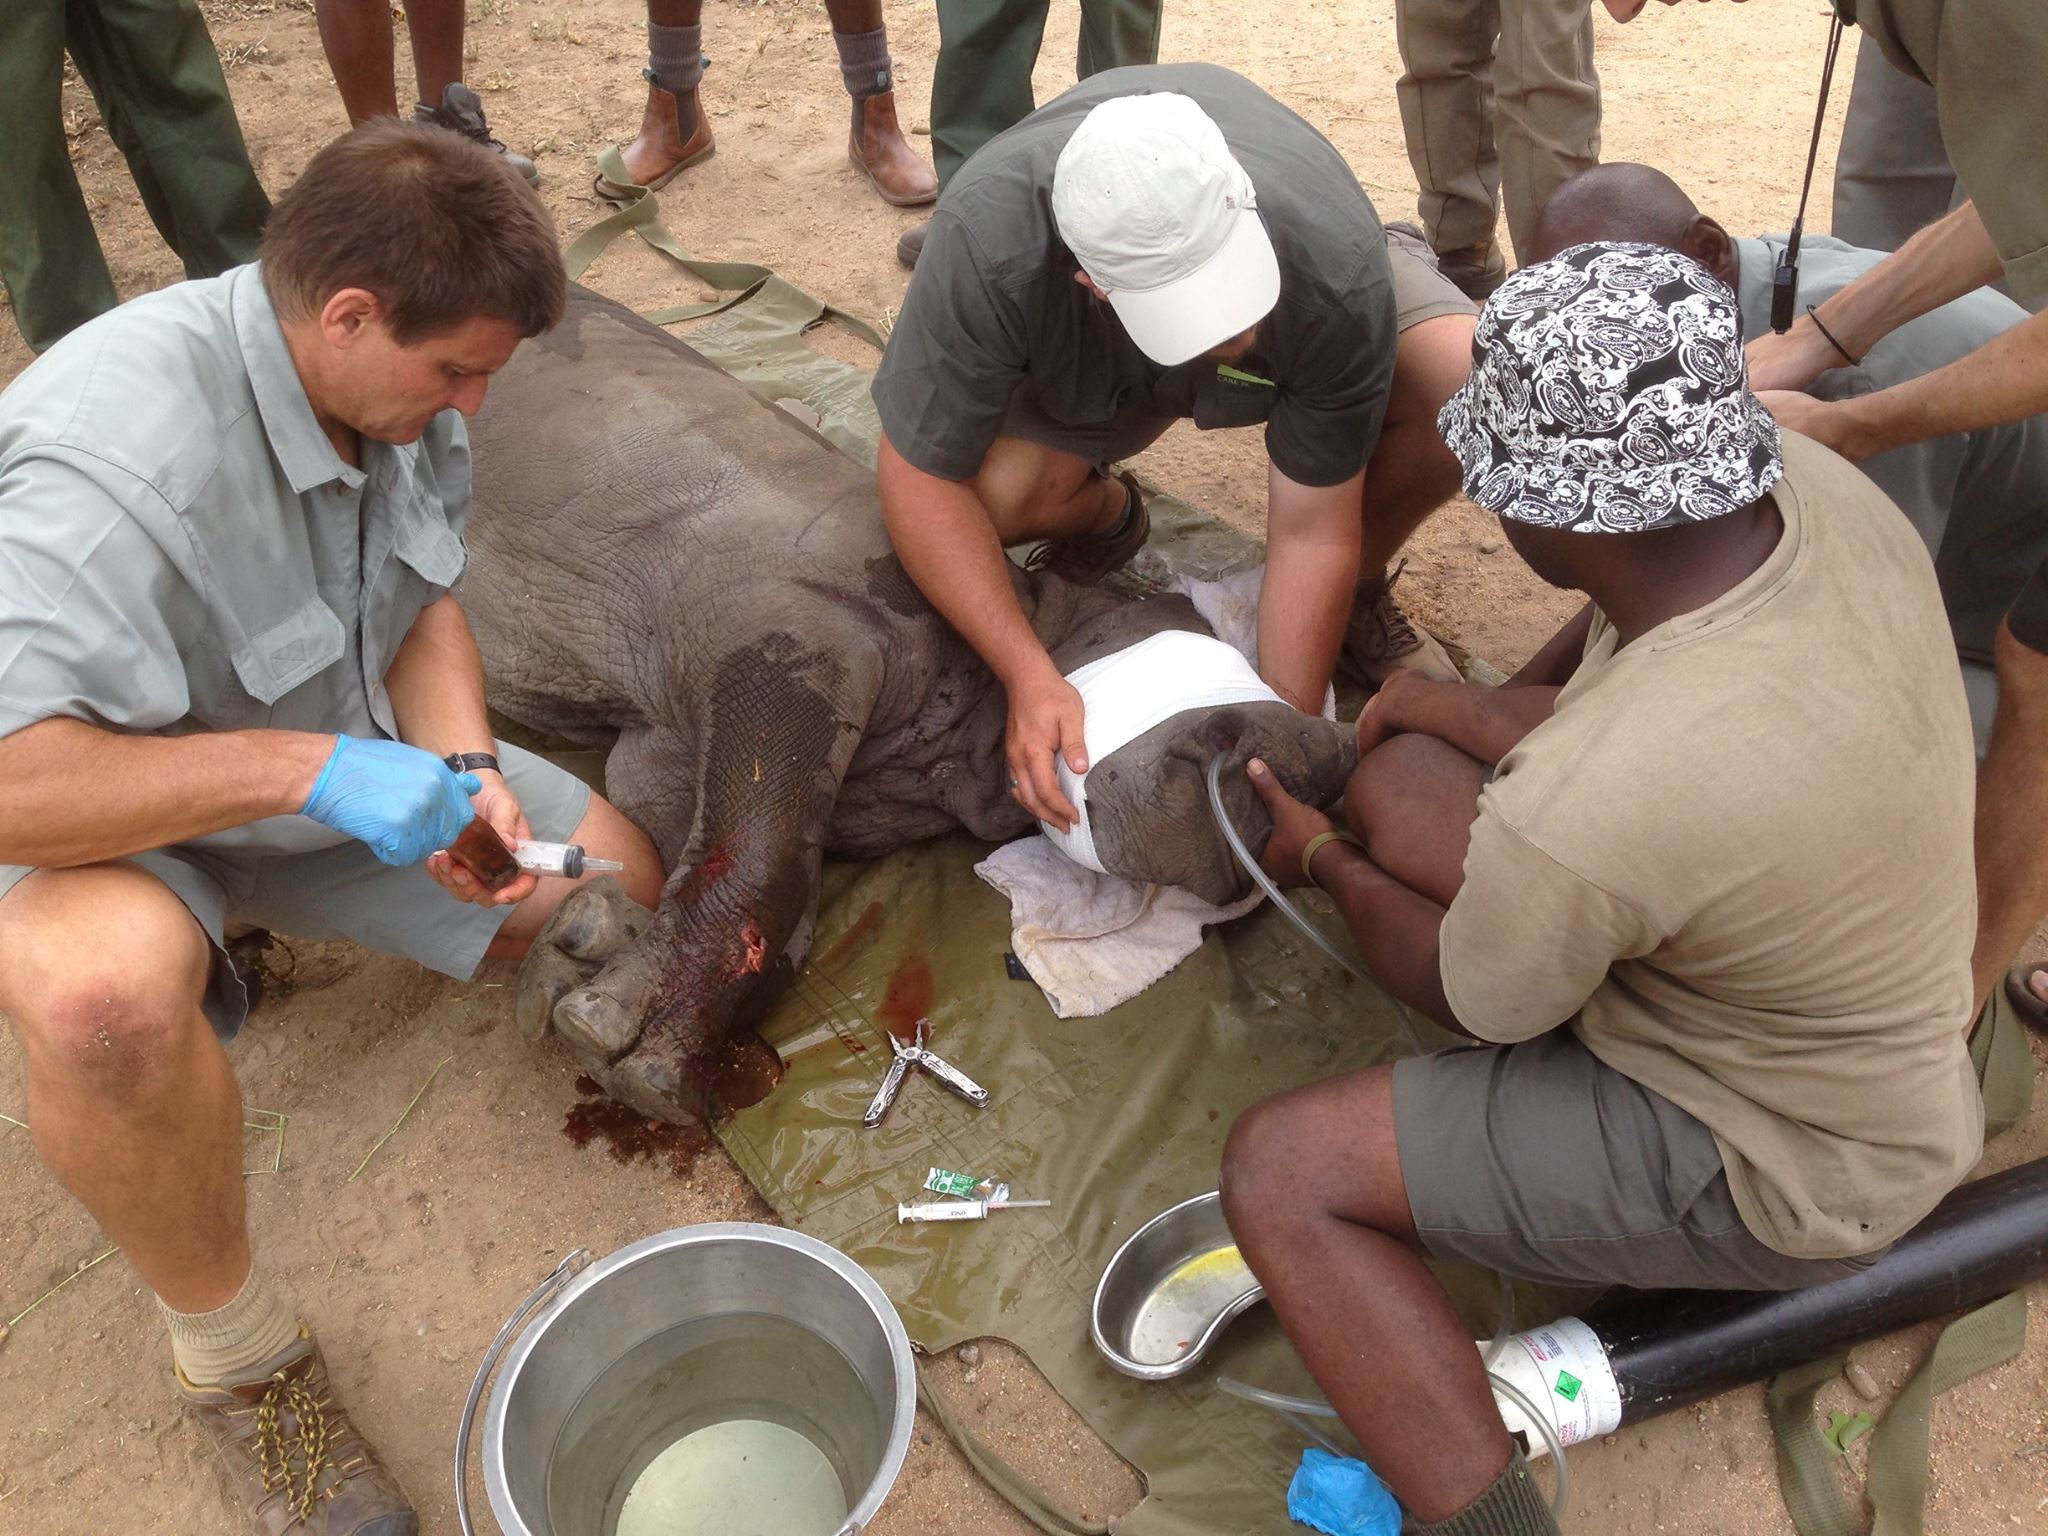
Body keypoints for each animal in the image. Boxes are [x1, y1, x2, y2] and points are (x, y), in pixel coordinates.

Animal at [463, 287, 1356, 1125]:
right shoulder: (790, 631)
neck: (957, 743)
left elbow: (738, 866)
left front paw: (583, 948)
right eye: (1225, 705)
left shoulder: (670, 743)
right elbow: (757, 853)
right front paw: (623, 1049)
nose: (1338, 756)